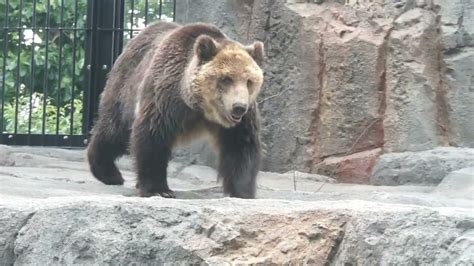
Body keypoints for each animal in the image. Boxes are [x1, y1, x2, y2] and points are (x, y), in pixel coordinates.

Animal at [87, 21, 264, 197]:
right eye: (226, 79)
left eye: (249, 81)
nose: (239, 107)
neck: (198, 106)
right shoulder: (165, 97)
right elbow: (152, 136)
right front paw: (159, 189)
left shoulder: (243, 117)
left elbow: (241, 145)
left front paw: (242, 191)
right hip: (125, 88)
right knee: (116, 131)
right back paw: (108, 172)